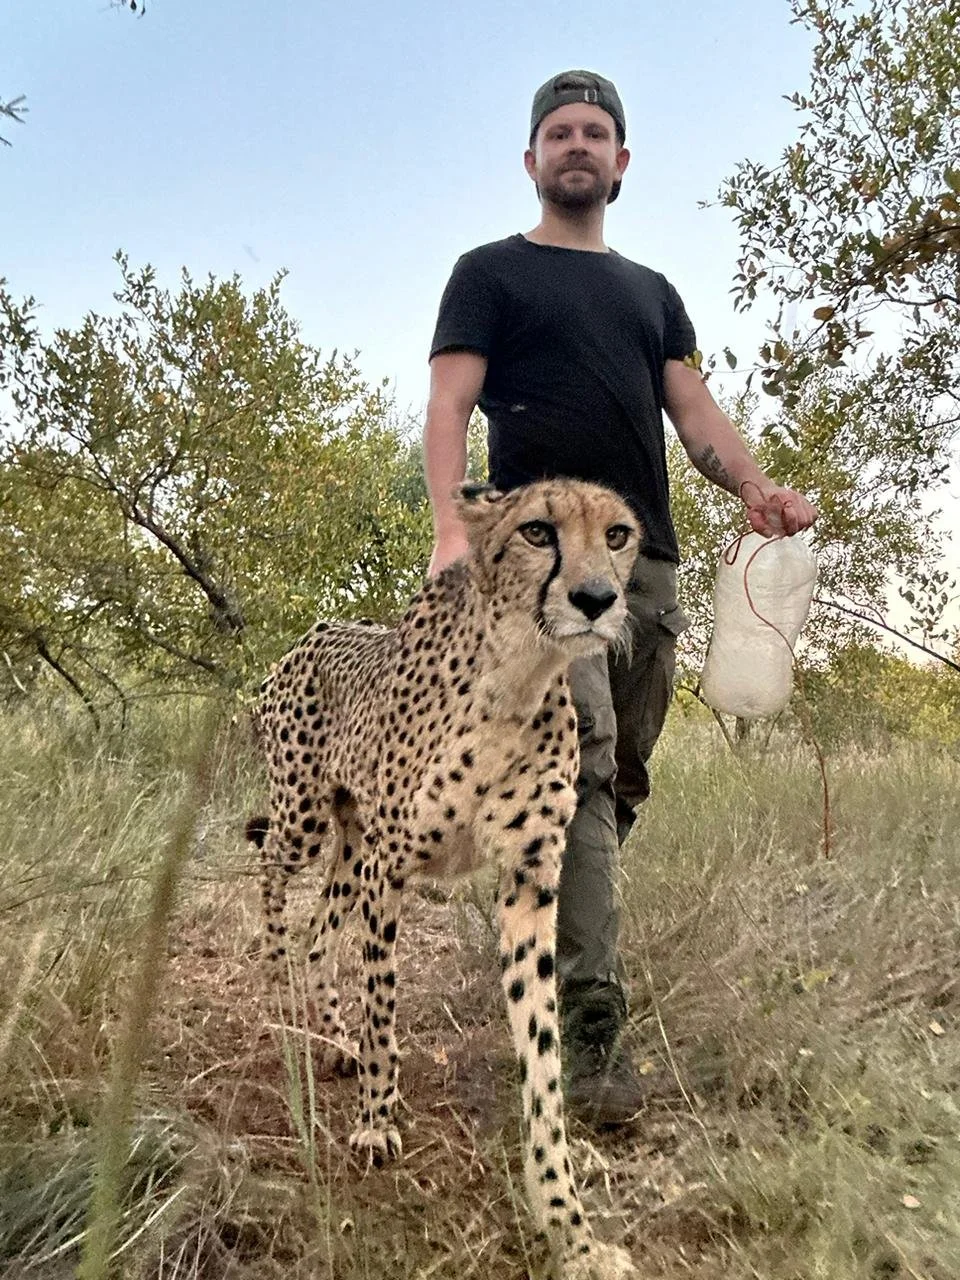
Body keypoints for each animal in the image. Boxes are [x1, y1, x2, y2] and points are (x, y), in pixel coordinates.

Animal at [247, 477, 642, 1279]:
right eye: (536, 532)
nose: (595, 599)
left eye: (618, 534)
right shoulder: (391, 867)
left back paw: (332, 1036)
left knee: (319, 930)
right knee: (271, 871)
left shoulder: (529, 883)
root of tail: (309, 635)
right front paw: (375, 1121)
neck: (517, 675)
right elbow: (384, 1003)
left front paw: (569, 1225)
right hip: (308, 820)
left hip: (351, 845)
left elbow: (542, 1061)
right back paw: (279, 981)